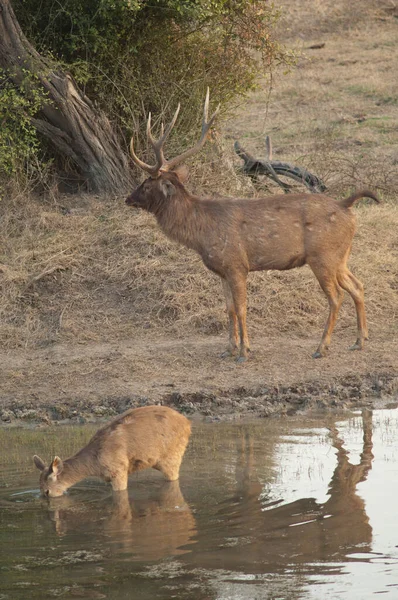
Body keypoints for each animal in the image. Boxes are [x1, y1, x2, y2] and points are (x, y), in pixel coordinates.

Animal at [32, 406, 191, 500]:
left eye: (47, 491)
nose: (45, 496)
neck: (94, 464)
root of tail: (187, 423)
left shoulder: (118, 470)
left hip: (172, 456)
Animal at [126, 89, 380, 360]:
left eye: (147, 184)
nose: (128, 198)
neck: (201, 233)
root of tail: (346, 205)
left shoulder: (237, 264)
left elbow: (241, 308)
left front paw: (244, 351)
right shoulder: (223, 270)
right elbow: (228, 309)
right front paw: (228, 348)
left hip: (322, 254)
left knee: (336, 297)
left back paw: (322, 347)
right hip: (340, 256)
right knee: (358, 285)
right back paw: (359, 341)